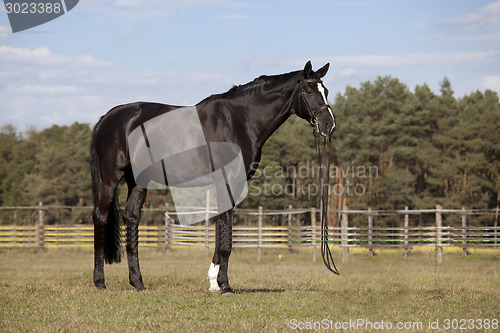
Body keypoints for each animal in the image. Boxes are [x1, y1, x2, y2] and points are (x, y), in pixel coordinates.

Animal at [91, 60, 336, 294]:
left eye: (326, 91)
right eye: (309, 91)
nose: (328, 125)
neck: (239, 121)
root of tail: (106, 118)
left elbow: (221, 230)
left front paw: (213, 283)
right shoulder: (228, 180)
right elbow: (226, 235)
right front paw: (225, 285)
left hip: (138, 182)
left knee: (131, 218)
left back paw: (138, 283)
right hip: (110, 178)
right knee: (100, 217)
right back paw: (100, 282)